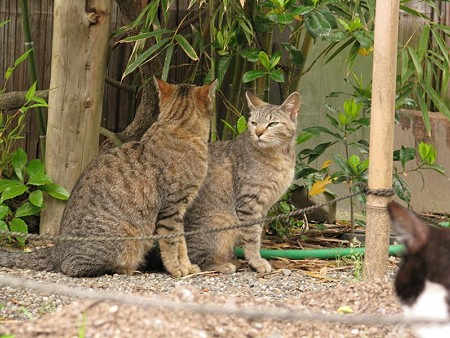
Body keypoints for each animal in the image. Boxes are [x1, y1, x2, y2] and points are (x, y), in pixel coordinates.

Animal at [183, 91, 302, 274]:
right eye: (254, 123)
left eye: (273, 124)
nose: (258, 132)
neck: (279, 155)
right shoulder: (249, 203)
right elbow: (252, 236)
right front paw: (256, 261)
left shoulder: (263, 207)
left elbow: (257, 232)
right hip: (223, 220)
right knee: (197, 260)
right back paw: (222, 264)